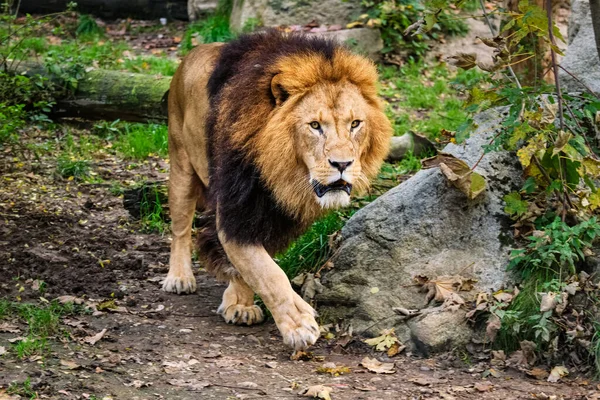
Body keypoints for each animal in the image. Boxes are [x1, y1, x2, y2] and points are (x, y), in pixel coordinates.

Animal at [162, 30, 392, 350]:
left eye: (356, 124)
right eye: (315, 126)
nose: (342, 164)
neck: (283, 175)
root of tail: (191, 53)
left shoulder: (273, 217)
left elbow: (252, 266)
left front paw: (239, 302)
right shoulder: (236, 210)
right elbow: (269, 274)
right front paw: (298, 324)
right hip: (181, 164)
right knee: (181, 228)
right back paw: (179, 278)